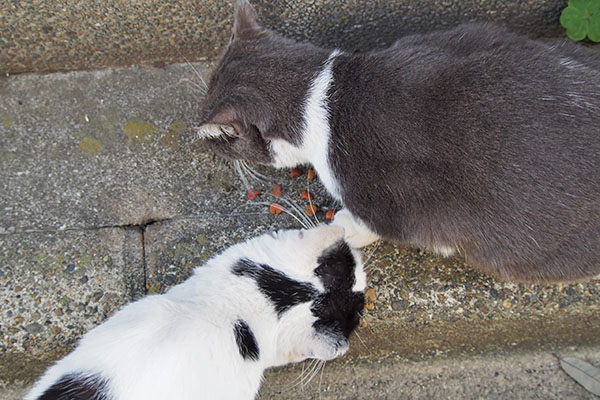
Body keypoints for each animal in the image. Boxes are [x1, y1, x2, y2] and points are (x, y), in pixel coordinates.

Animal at [195, 0, 596, 282]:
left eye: (223, 138)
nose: (196, 132)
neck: (326, 90)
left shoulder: (389, 201)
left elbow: (365, 225)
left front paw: (339, 226)